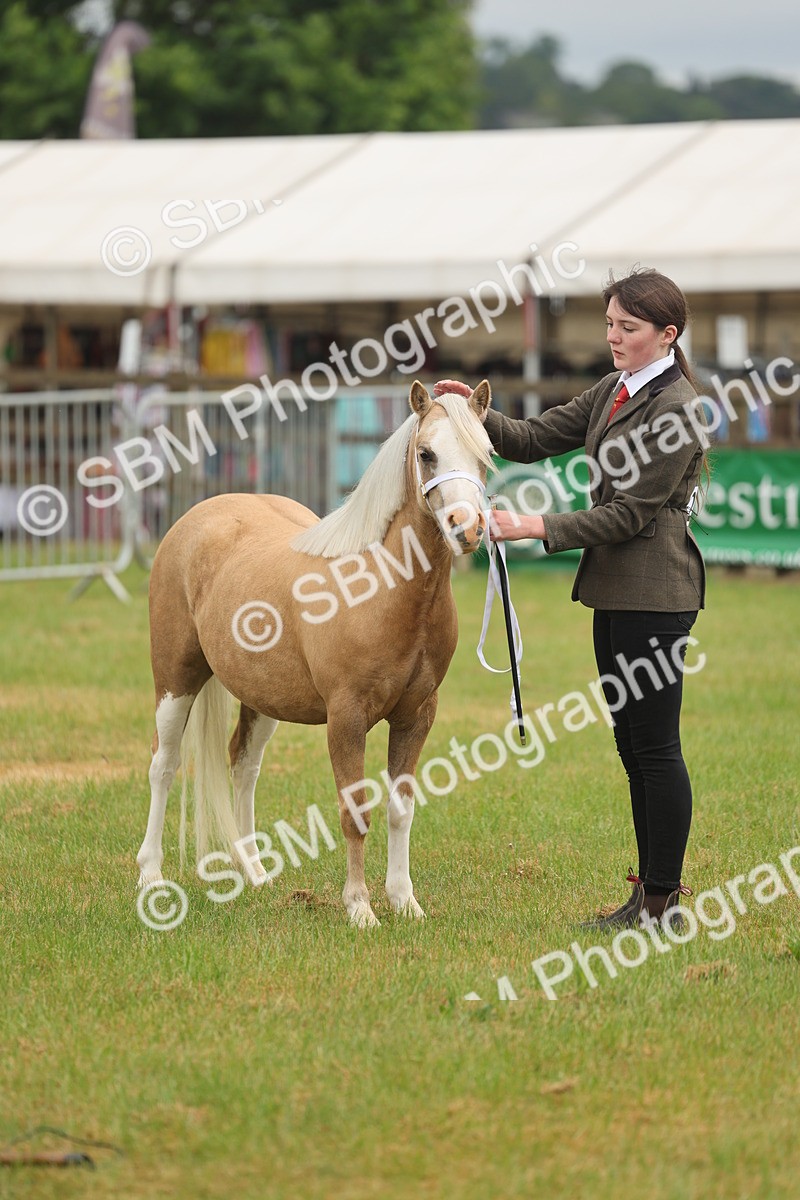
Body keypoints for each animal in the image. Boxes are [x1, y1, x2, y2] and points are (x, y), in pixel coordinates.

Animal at [136, 379, 494, 927]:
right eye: (427, 453)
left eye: (486, 455)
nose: (466, 528)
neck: (383, 588)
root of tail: (195, 519)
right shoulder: (346, 718)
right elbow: (355, 812)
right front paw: (360, 907)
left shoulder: (417, 715)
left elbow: (400, 809)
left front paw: (403, 901)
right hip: (175, 679)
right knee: (165, 763)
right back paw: (151, 875)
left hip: (262, 699)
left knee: (243, 765)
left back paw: (256, 873)